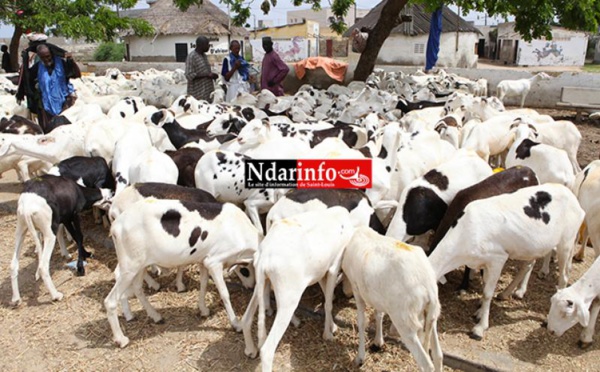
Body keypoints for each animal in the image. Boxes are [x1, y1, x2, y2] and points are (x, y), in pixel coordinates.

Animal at [103, 199, 262, 348]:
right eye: (245, 271)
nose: (252, 286)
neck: (238, 230)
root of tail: (116, 224)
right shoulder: (214, 262)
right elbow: (224, 293)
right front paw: (236, 324)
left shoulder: (203, 260)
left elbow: (203, 284)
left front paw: (203, 310)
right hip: (130, 266)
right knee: (110, 300)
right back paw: (121, 338)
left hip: (140, 265)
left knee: (137, 288)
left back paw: (154, 316)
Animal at [428, 182, 584, 340]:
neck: (465, 234)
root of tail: (573, 197)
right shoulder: (484, 262)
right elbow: (485, 286)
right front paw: (480, 312)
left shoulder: (498, 259)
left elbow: (487, 292)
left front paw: (480, 328)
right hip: (530, 247)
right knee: (527, 265)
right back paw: (506, 293)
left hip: (566, 243)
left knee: (563, 278)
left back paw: (546, 317)